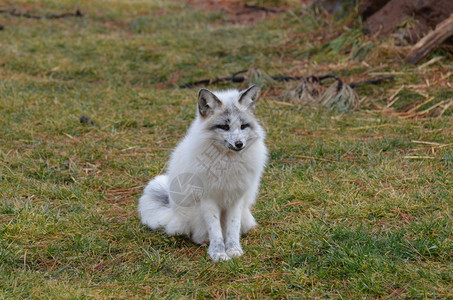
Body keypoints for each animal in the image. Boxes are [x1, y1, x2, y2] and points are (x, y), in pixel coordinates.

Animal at [136, 85, 266, 262]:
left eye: (243, 126)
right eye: (224, 127)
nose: (239, 144)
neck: (226, 163)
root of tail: (173, 214)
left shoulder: (236, 198)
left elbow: (232, 228)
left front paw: (233, 250)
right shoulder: (207, 199)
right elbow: (215, 230)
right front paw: (218, 254)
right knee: (197, 234)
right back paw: (203, 242)